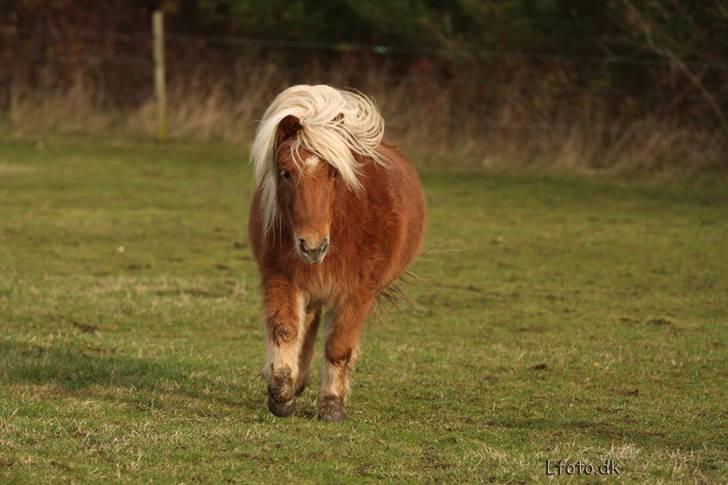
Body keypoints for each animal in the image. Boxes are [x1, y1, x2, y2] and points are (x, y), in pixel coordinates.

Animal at [249, 85, 426, 422]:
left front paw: (331, 404)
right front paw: (281, 391)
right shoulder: (281, 276)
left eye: (333, 173)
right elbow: (286, 329)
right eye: (285, 172)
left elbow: (339, 346)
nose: (313, 245)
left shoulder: (358, 291)